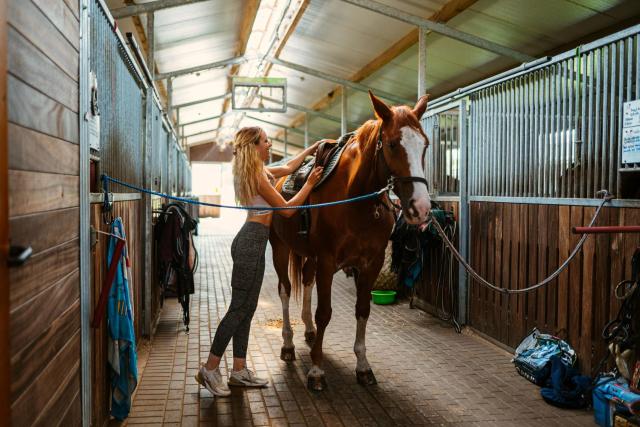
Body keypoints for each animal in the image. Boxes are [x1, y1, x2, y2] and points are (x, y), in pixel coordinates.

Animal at [268, 91, 432, 392]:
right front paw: (317, 371)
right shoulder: (327, 261)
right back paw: (288, 344)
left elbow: (363, 310)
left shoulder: (370, 263)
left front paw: (363, 367)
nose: (421, 208)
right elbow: (324, 312)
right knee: (285, 290)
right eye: (392, 144)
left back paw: (309, 333)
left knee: (306, 281)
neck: (355, 200)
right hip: (280, 248)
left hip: (309, 257)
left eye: (424, 144)